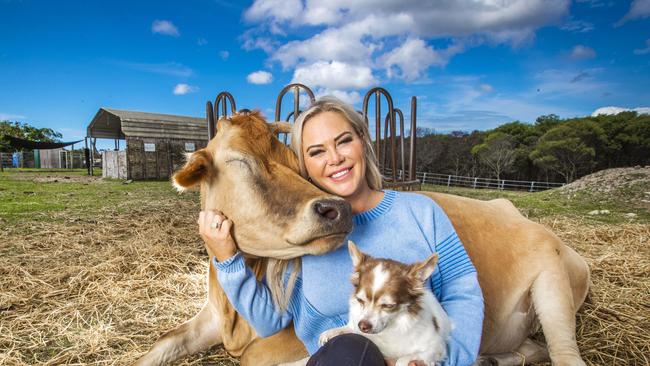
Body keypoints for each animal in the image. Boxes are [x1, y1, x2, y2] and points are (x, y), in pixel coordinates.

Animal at [318, 240, 450, 366]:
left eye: (388, 306)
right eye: (360, 300)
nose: (363, 326)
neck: (389, 329)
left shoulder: (436, 347)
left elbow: (402, 360)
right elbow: (349, 328)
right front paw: (332, 332)